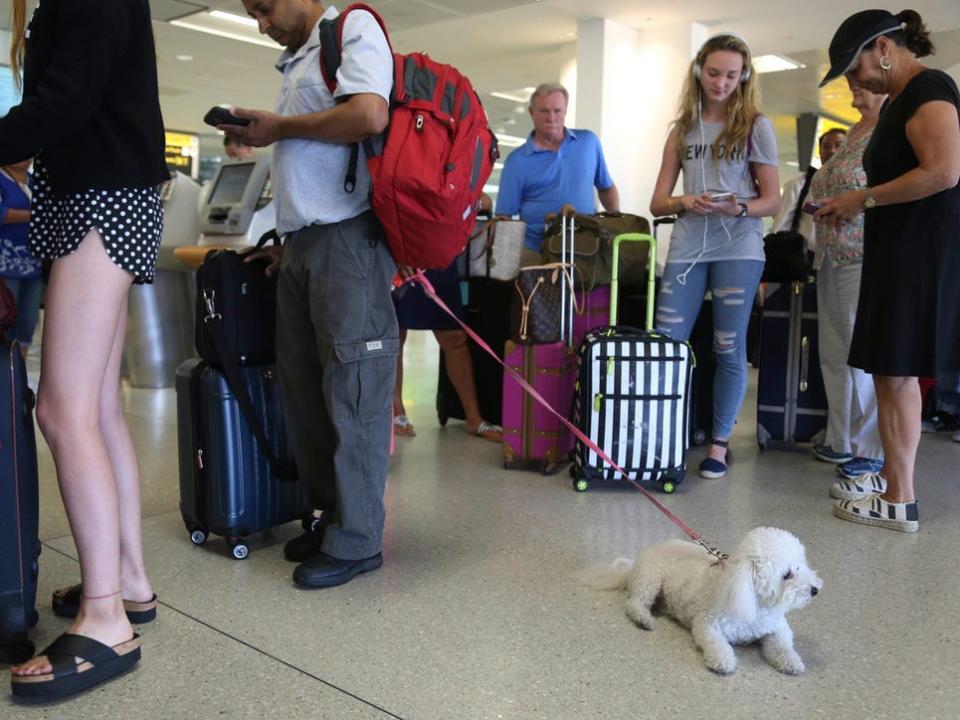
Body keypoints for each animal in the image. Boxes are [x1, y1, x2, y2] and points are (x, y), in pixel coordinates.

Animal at [580, 528, 820, 676]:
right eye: (786, 574)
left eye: (800, 566)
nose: (815, 590)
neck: (754, 602)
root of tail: (635, 563)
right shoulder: (707, 624)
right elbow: (716, 644)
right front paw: (723, 660)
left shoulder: (777, 627)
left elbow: (782, 645)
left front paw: (791, 661)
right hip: (649, 579)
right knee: (634, 604)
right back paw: (643, 618)